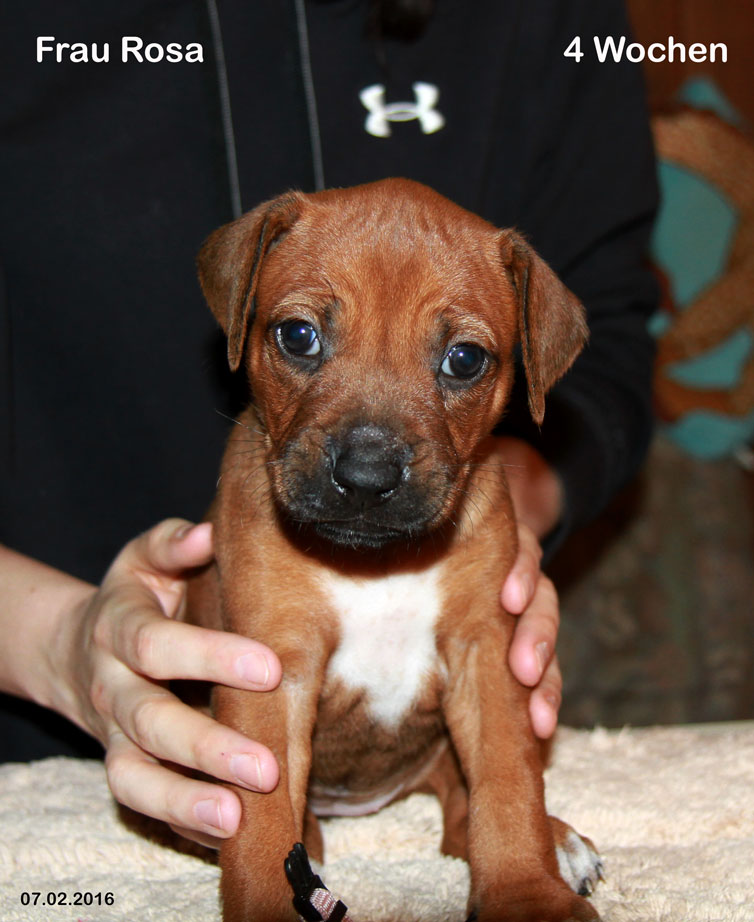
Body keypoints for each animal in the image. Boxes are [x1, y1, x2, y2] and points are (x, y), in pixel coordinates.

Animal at [189, 178, 602, 922]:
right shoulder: (270, 668)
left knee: (464, 809)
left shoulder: (487, 654)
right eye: (298, 336)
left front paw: (527, 892)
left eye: (464, 360)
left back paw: (556, 842)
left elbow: (508, 784)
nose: (365, 477)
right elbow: (261, 819)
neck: (374, 564)